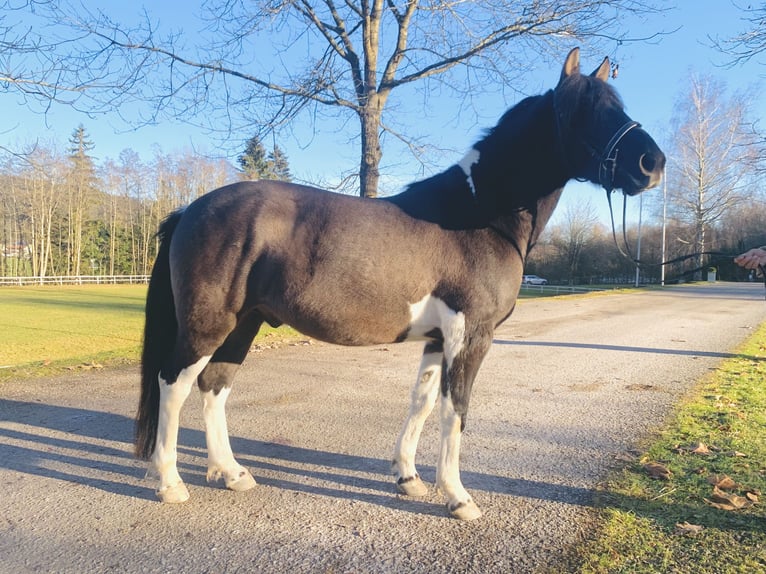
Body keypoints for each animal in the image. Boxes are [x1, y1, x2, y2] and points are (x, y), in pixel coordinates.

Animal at [136, 48, 664, 520]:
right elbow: (456, 410)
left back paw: (232, 473)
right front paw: (458, 498)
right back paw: (171, 484)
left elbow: (424, 401)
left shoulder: (437, 338)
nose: (651, 164)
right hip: (208, 323)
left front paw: (408, 478)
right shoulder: (471, 335)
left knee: (214, 386)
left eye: (618, 105)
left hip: (243, 323)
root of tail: (190, 209)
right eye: (585, 111)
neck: (477, 214)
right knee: (174, 384)